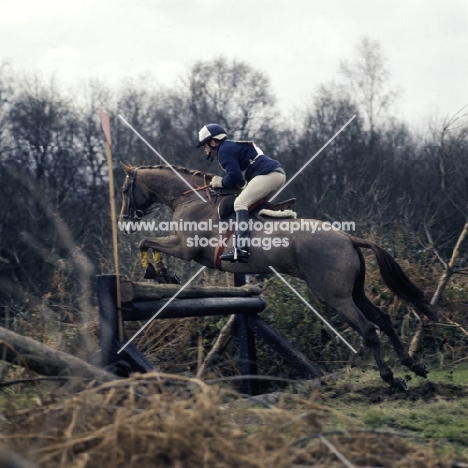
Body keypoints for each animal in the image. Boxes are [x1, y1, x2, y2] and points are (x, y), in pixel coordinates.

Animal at [118, 163, 438, 390]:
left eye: (123, 190)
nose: (123, 221)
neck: (189, 199)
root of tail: (347, 237)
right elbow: (147, 242)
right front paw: (161, 274)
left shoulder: (185, 249)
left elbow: (145, 242)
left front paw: (157, 273)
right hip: (354, 292)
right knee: (383, 319)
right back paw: (413, 366)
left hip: (334, 296)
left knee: (369, 330)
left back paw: (391, 377)